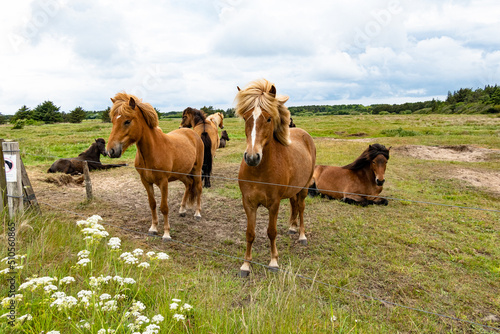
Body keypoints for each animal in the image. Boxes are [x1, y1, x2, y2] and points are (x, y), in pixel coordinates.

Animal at [106, 92, 204, 241]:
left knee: (198, 187)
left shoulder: (163, 182)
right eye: (112, 121)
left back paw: (197, 213)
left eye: (127, 121)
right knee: (188, 184)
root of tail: (194, 134)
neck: (153, 151)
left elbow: (164, 207)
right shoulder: (146, 181)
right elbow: (152, 204)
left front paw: (166, 233)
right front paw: (153, 228)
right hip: (182, 173)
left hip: (196, 170)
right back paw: (182, 210)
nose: (111, 151)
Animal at [235, 79, 316, 276]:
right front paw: (246, 265)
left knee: (301, 208)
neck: (259, 172)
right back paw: (292, 228)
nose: (252, 157)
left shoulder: (274, 204)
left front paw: (273, 262)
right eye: (246, 118)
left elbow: (271, 232)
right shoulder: (248, 203)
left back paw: (302, 235)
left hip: (304, 189)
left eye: (269, 118)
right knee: (294, 205)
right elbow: (250, 233)